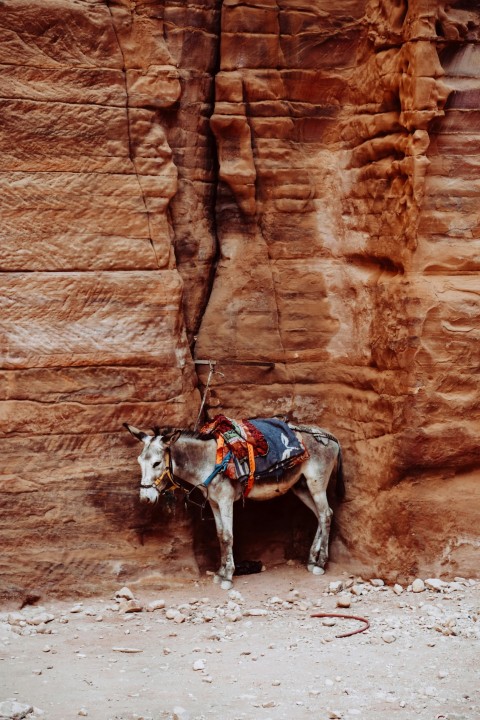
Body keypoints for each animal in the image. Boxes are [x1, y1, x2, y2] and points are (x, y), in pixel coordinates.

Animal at [124, 421, 345, 590]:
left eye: (156, 463)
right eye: (139, 461)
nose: (145, 498)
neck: (207, 462)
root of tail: (331, 436)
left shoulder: (225, 500)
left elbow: (228, 537)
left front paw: (228, 577)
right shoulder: (213, 502)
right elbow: (220, 535)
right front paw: (221, 572)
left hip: (316, 483)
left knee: (326, 515)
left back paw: (321, 564)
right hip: (301, 487)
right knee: (321, 514)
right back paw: (312, 560)